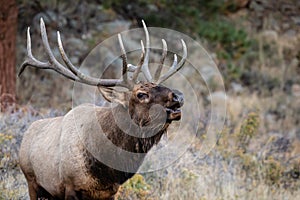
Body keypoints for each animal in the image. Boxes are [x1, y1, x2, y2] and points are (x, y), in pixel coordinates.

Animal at [18, 18, 186, 199]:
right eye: (141, 94)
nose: (178, 97)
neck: (107, 168)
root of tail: (26, 134)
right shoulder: (70, 187)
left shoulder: (111, 192)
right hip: (32, 182)